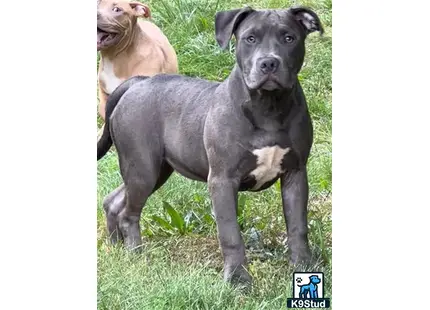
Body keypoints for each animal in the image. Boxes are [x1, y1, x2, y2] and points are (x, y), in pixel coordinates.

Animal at [97, 5, 322, 286]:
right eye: (250, 38)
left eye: (289, 38)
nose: (269, 62)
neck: (268, 107)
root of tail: (136, 82)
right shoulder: (223, 180)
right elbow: (230, 233)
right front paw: (237, 280)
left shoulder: (295, 174)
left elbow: (298, 226)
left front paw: (302, 267)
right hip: (142, 168)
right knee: (129, 213)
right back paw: (136, 256)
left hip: (154, 170)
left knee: (114, 201)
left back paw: (116, 248)